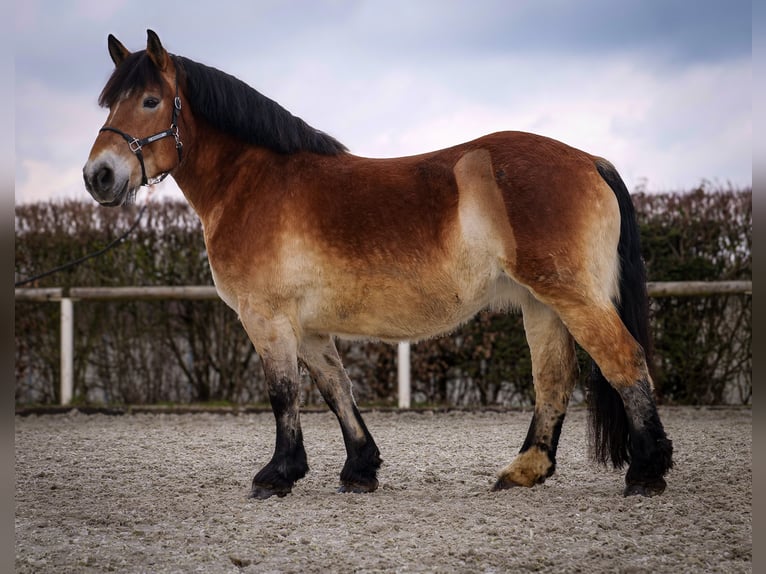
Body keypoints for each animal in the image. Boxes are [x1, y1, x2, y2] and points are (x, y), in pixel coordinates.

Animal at [84, 30, 672, 500]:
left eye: (151, 100)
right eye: (109, 104)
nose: (99, 177)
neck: (252, 182)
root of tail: (589, 160)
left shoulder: (267, 318)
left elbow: (283, 392)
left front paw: (277, 475)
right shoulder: (308, 326)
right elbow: (335, 388)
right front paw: (359, 468)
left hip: (571, 295)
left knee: (623, 360)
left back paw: (646, 472)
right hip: (541, 302)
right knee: (552, 378)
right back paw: (525, 470)